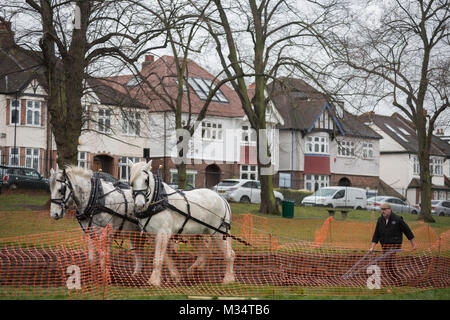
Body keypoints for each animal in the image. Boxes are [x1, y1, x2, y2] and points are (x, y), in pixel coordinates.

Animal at [127, 160, 236, 288]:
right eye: (131, 182)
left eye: (146, 180)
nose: (139, 204)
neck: (158, 200)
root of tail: (221, 198)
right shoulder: (154, 235)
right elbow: (166, 258)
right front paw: (175, 277)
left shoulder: (163, 233)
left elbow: (158, 259)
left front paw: (154, 281)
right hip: (195, 234)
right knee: (204, 252)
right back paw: (193, 271)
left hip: (219, 232)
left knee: (229, 254)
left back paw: (228, 279)